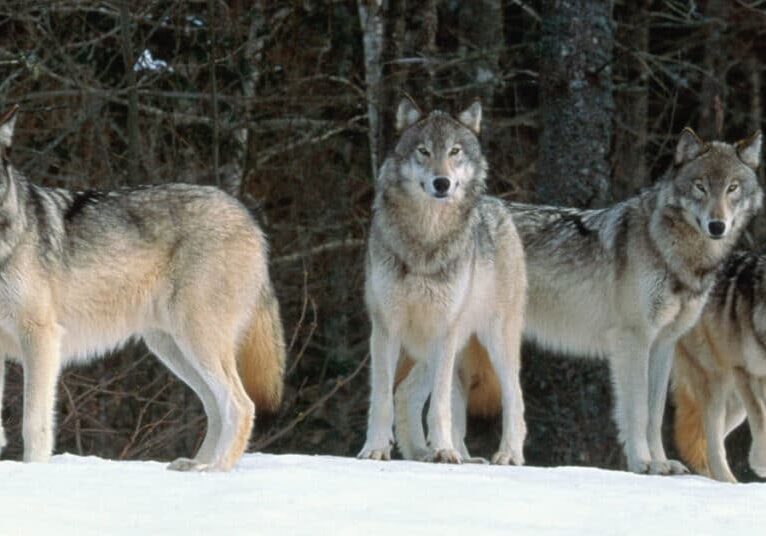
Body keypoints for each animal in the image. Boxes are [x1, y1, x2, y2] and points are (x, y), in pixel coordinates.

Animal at [0, 106, 286, 471]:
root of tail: (249, 218)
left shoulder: (41, 336)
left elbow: (34, 423)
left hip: (196, 340)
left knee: (240, 405)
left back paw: (216, 469)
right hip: (171, 348)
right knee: (214, 407)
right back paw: (194, 465)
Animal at [357, 98, 527, 465]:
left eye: (454, 152)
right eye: (423, 151)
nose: (442, 183)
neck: (426, 239)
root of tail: (500, 205)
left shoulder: (445, 331)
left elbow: (440, 405)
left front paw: (445, 450)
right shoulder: (386, 327)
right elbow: (382, 398)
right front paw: (375, 448)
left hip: (493, 341)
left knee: (514, 397)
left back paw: (505, 455)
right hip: (432, 347)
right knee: (407, 394)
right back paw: (426, 453)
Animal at [673, 251, 766, 483]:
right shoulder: (744, 370)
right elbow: (761, 418)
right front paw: (761, 463)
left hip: (735, 408)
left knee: (704, 443)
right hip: (715, 387)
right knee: (711, 443)